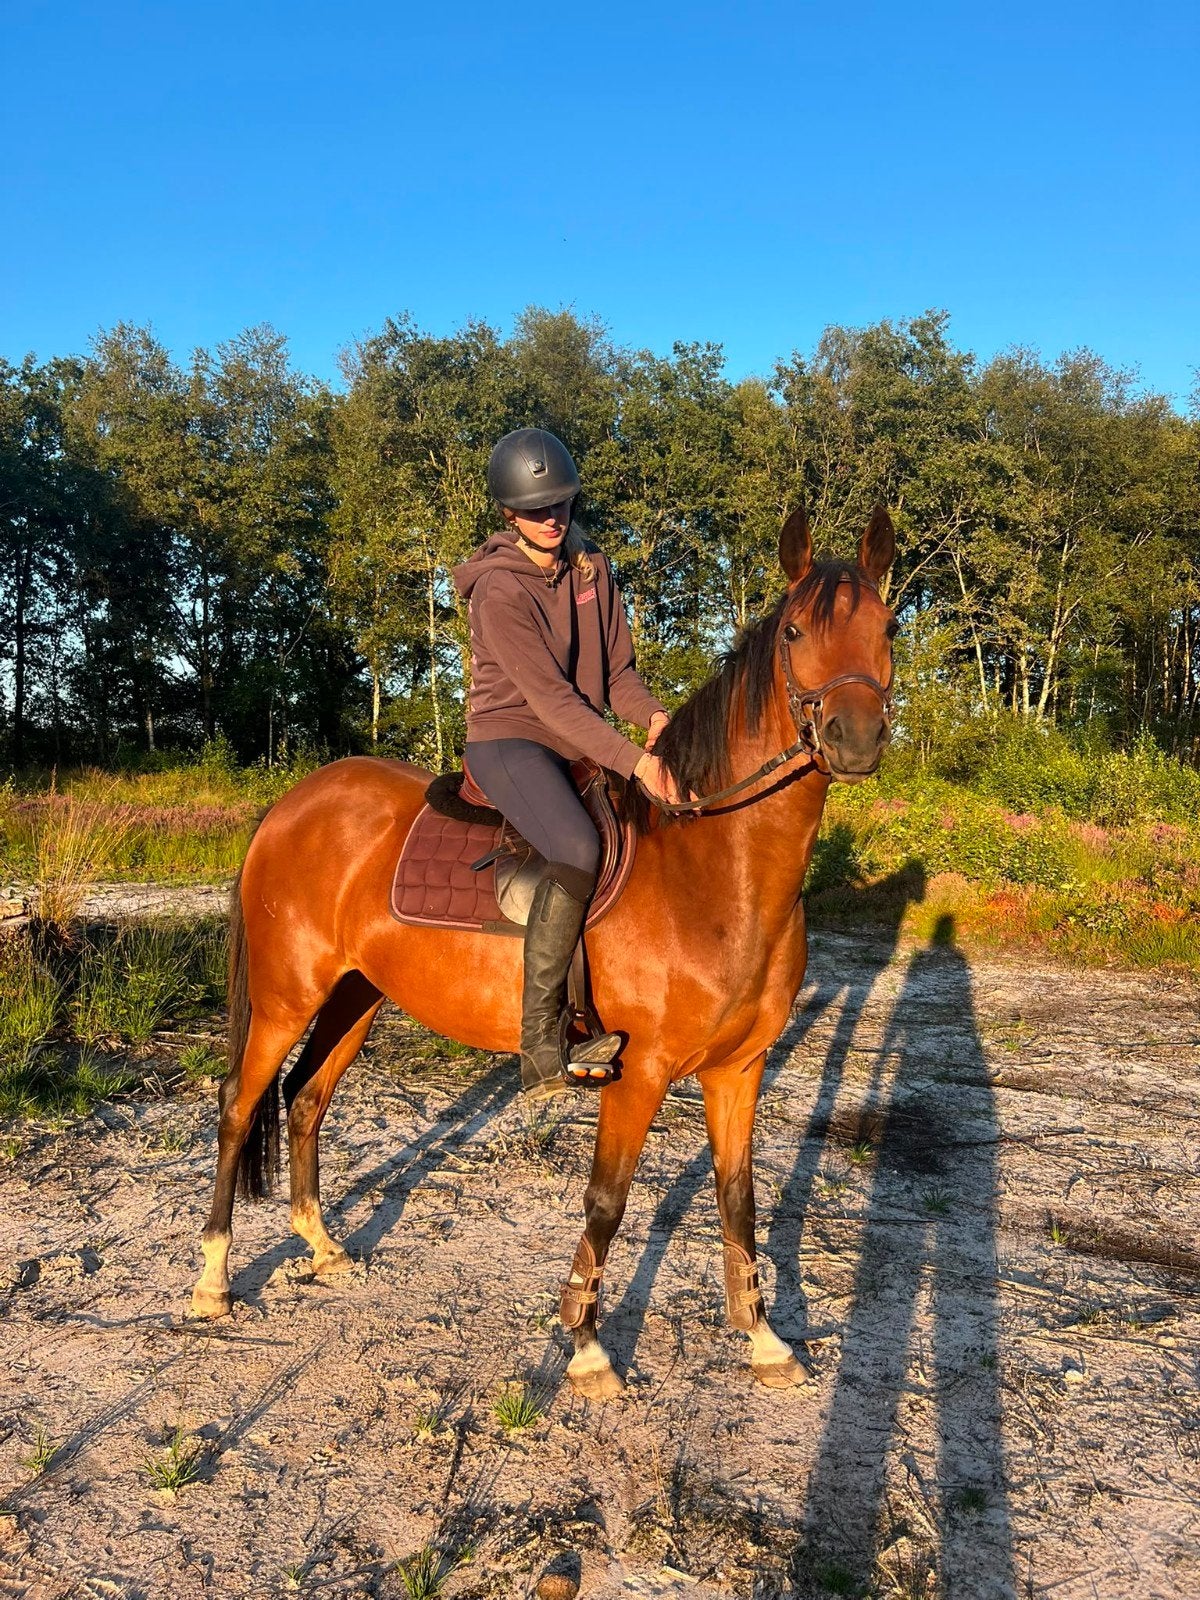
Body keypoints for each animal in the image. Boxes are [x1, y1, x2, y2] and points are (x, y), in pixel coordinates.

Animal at [191, 503, 897, 1400]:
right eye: (797, 630)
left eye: (888, 626)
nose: (855, 737)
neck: (712, 871)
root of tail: (291, 806)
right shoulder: (639, 1073)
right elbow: (608, 1201)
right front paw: (589, 1348)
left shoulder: (740, 1068)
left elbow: (739, 1196)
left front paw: (765, 1340)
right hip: (288, 996)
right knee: (237, 1106)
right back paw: (211, 1283)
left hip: (356, 996)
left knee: (306, 1100)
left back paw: (321, 1249)